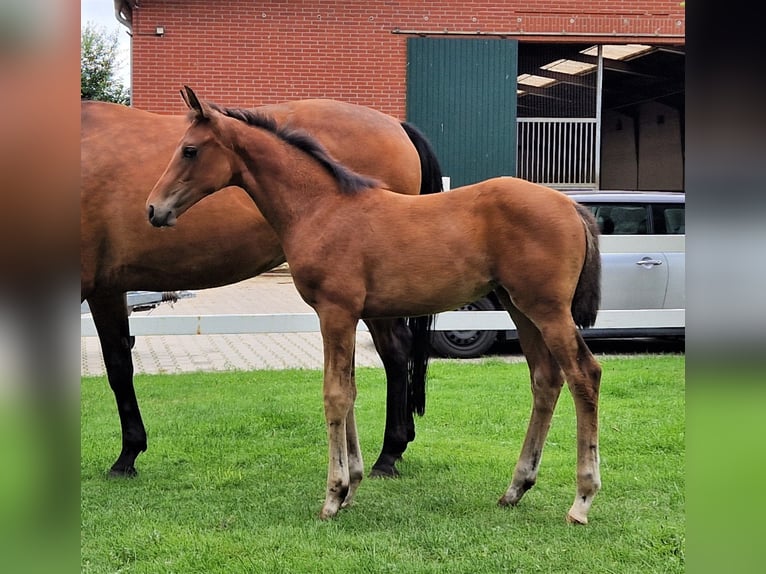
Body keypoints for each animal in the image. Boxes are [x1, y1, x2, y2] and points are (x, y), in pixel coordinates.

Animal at [82, 99, 444, 482]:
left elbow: (116, 369)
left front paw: (126, 455)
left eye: (190, 151)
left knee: (395, 351)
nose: (153, 209)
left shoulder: (94, 288)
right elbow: (119, 363)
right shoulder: (109, 289)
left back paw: (389, 453)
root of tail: (397, 125)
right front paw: (130, 452)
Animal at [147, 86, 608, 528]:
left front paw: (333, 496)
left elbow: (335, 394)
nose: (154, 209)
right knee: (545, 379)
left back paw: (582, 501)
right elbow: (349, 391)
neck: (321, 207)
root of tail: (572, 205)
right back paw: (516, 488)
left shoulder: (335, 312)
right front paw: (351, 486)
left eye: (189, 149)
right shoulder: (347, 316)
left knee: (584, 375)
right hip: (520, 308)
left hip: (547, 310)